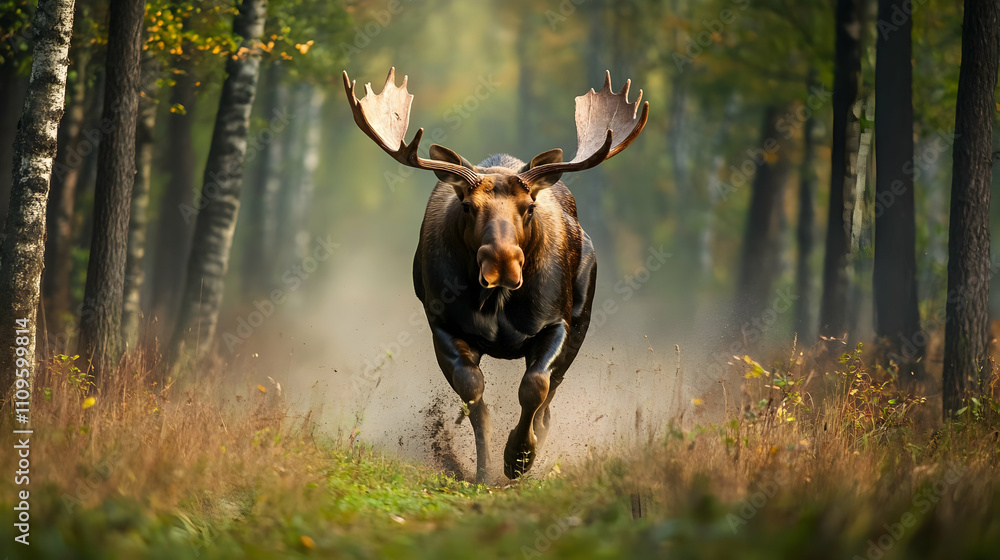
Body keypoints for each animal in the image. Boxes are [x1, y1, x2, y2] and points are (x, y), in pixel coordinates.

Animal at [343, 68, 648, 482]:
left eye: (529, 206)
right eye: (467, 206)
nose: (502, 263)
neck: (497, 304)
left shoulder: (557, 322)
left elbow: (536, 386)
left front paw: (518, 458)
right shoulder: (442, 323)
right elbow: (474, 395)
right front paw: (486, 469)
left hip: (583, 316)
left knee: (553, 390)